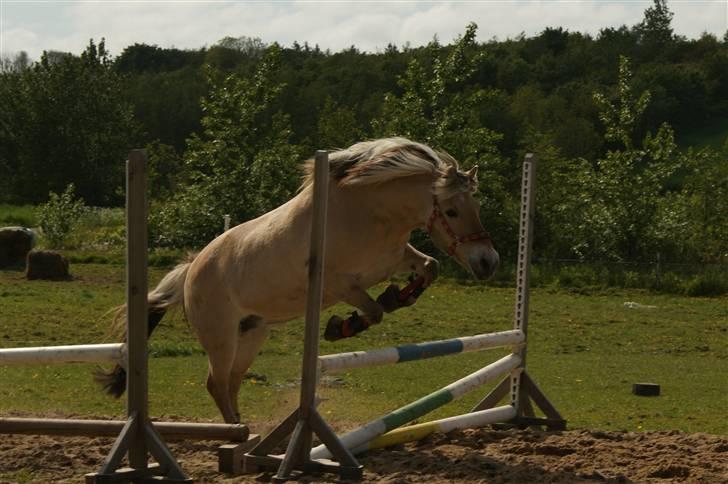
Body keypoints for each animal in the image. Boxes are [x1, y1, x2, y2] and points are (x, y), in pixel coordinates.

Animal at [96, 137, 500, 424]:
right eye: (452, 211)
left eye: (477, 207)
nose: (488, 262)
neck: (370, 214)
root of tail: (191, 271)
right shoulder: (339, 285)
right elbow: (374, 311)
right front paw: (342, 326)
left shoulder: (396, 259)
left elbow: (429, 268)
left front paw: (397, 297)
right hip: (221, 337)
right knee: (217, 383)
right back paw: (236, 436)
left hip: (252, 332)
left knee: (231, 382)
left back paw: (243, 431)